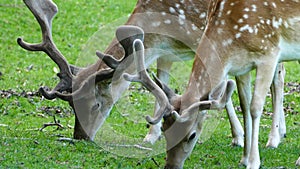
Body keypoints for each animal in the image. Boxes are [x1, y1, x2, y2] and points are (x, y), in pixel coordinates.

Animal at [113, 0, 298, 168]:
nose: (171, 166)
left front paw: (253, 162)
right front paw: (244, 159)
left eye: (192, 135)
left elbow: (255, 108)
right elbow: (245, 106)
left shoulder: (269, 53)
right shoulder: (242, 67)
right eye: (165, 131)